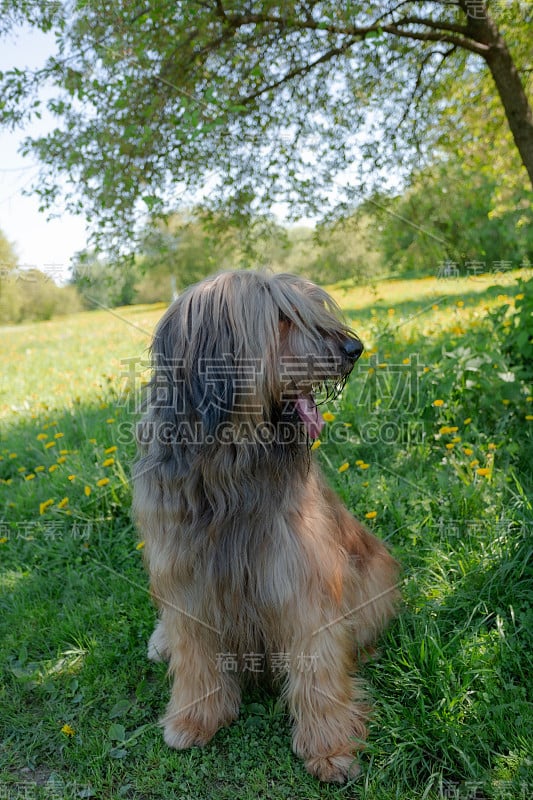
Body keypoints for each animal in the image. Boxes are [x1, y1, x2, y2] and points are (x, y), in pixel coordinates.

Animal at [132, 268, 396, 780]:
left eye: (311, 308)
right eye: (280, 319)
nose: (353, 348)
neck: (229, 470)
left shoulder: (299, 575)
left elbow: (317, 663)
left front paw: (330, 746)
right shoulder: (185, 574)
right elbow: (195, 654)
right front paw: (193, 719)